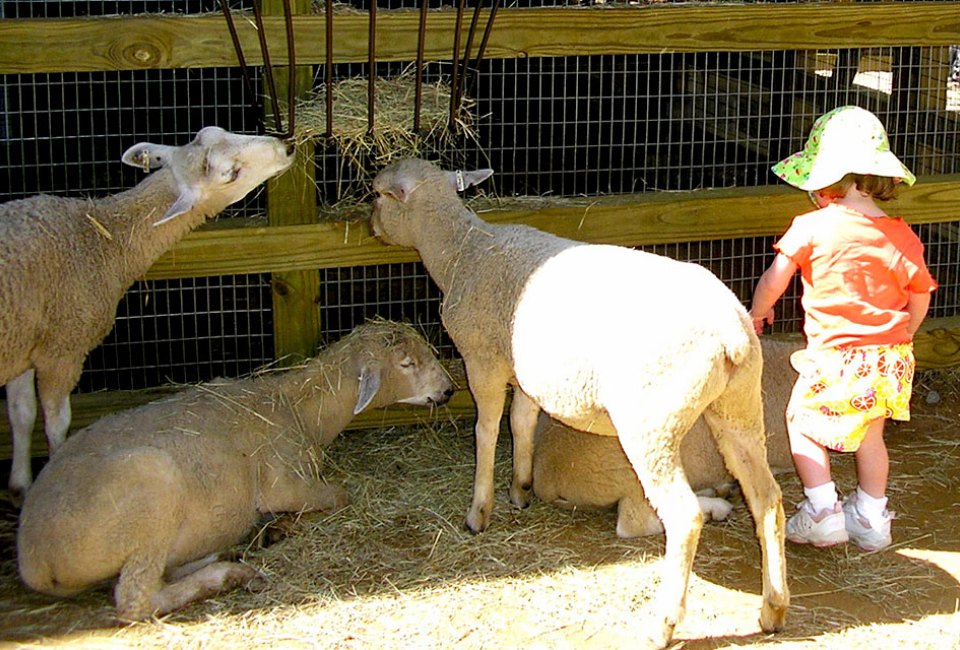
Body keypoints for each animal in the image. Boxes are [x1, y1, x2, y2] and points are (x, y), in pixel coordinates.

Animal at [0, 126, 296, 502]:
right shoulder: (62, 349)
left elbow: (21, 413)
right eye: (231, 173)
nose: (286, 147)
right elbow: (56, 426)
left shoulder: (25, 341)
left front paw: (20, 484)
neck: (103, 236)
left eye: (215, 130)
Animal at [17, 318, 454, 616]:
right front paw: (283, 525)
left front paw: (274, 529)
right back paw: (229, 574)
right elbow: (339, 495)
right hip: (151, 491)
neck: (299, 408)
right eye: (406, 363)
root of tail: (34, 556)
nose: (449, 390)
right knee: (136, 599)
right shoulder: (286, 483)